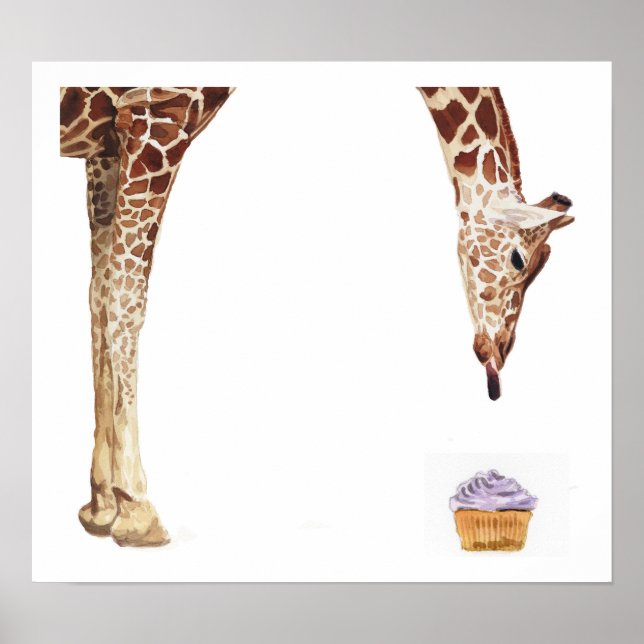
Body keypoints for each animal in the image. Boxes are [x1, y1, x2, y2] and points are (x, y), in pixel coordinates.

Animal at [60, 87, 233, 546]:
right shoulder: (156, 115)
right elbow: (126, 297)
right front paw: (135, 507)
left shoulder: (104, 145)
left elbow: (98, 293)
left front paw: (101, 504)